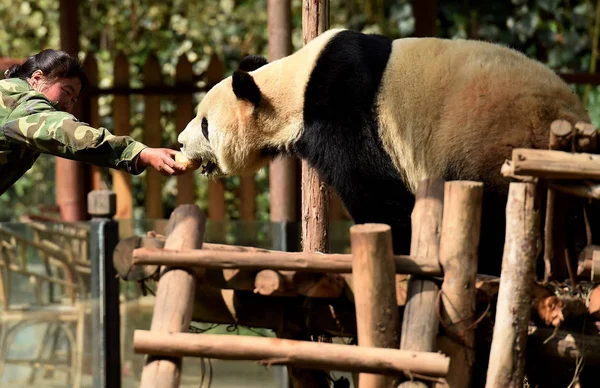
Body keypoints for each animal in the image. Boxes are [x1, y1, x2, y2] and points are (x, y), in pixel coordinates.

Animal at [178, 28, 592, 274]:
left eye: (205, 124)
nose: (180, 142)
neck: (294, 87)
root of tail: (572, 125)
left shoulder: (341, 107)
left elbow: (374, 188)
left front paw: (398, 246)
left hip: (488, 143)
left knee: (491, 213)